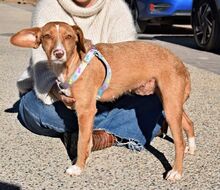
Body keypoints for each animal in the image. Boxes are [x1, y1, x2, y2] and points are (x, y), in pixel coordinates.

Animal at [10, 21, 196, 180]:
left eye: (69, 36)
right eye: (47, 36)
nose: (58, 53)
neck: (72, 64)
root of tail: (179, 62)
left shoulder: (85, 111)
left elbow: (82, 141)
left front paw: (78, 167)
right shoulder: (85, 112)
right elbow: (87, 140)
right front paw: (84, 159)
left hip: (170, 105)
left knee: (179, 141)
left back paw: (176, 171)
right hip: (169, 102)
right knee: (188, 122)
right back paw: (192, 147)